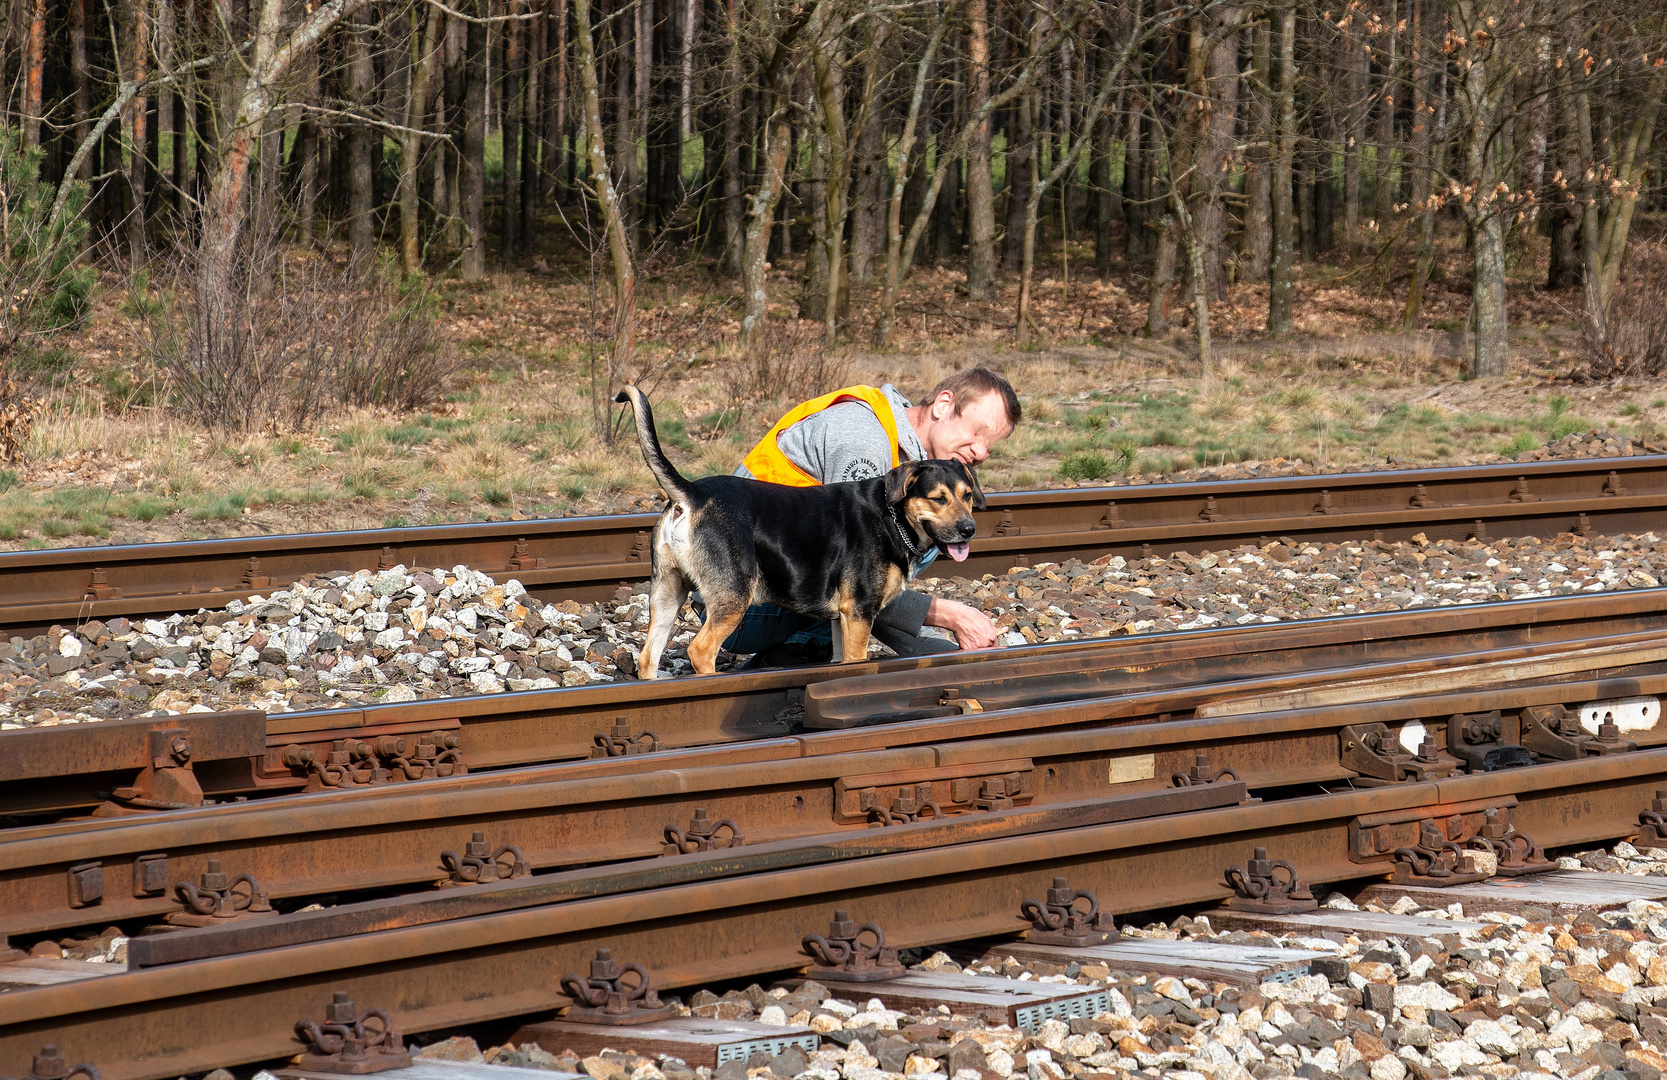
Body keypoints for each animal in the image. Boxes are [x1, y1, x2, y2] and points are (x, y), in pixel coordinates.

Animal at [613, 386, 980, 673]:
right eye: (938, 499)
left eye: (967, 495)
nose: (969, 529)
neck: (893, 517)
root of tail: (692, 493)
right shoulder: (859, 612)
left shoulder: (841, 620)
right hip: (734, 595)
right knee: (701, 651)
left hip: (668, 590)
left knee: (648, 658)